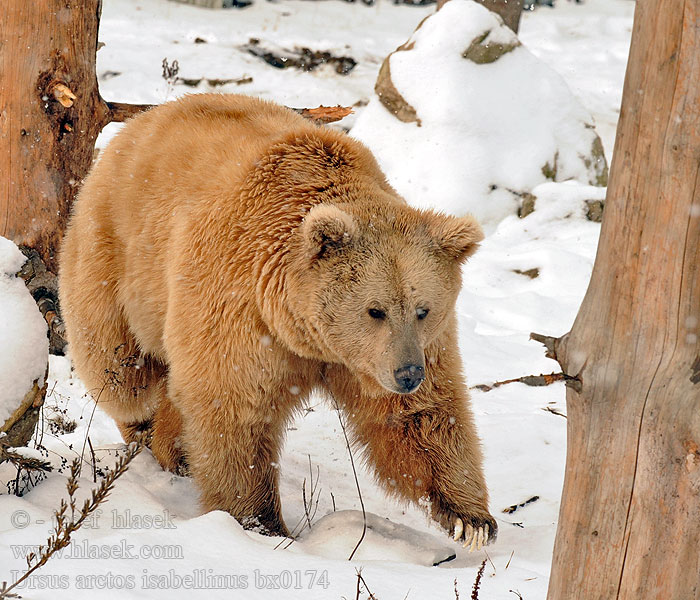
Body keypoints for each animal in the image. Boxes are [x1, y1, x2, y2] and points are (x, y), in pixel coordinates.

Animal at [61, 92, 498, 548]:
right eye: (375, 309)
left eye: (422, 308)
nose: (408, 373)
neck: (306, 331)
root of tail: (143, 119)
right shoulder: (240, 304)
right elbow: (235, 409)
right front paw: (259, 520)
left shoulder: (390, 353)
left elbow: (418, 416)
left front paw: (471, 520)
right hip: (116, 255)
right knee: (121, 372)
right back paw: (146, 431)